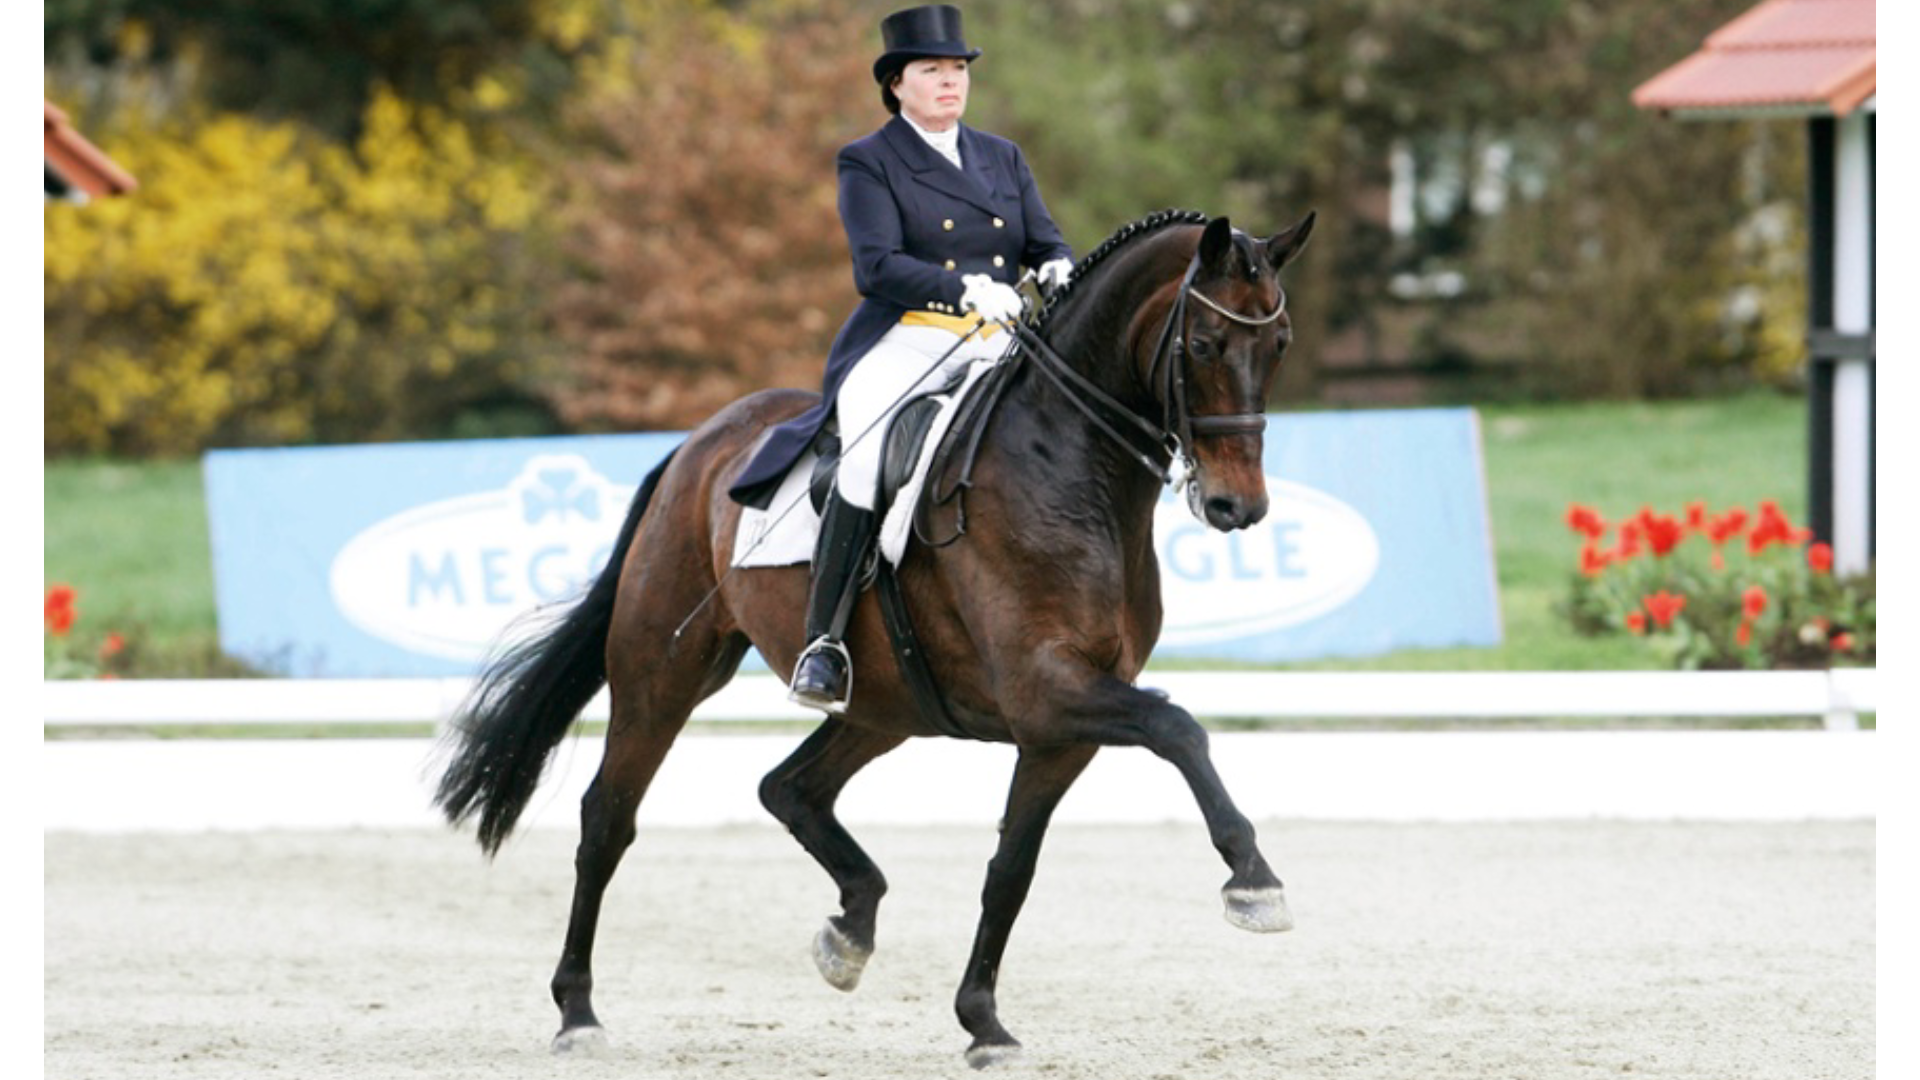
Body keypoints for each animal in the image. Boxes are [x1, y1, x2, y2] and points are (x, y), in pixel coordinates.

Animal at [435, 205, 1313, 1060]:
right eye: (1203, 344)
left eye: (1278, 346)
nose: (1239, 507)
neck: (1071, 470)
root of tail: (699, 443)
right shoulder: (1047, 690)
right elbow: (1179, 727)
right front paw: (1255, 880)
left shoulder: (1060, 726)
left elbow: (1011, 868)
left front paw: (982, 1022)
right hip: (664, 670)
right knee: (607, 821)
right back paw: (577, 1012)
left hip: (887, 703)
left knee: (789, 788)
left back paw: (850, 929)